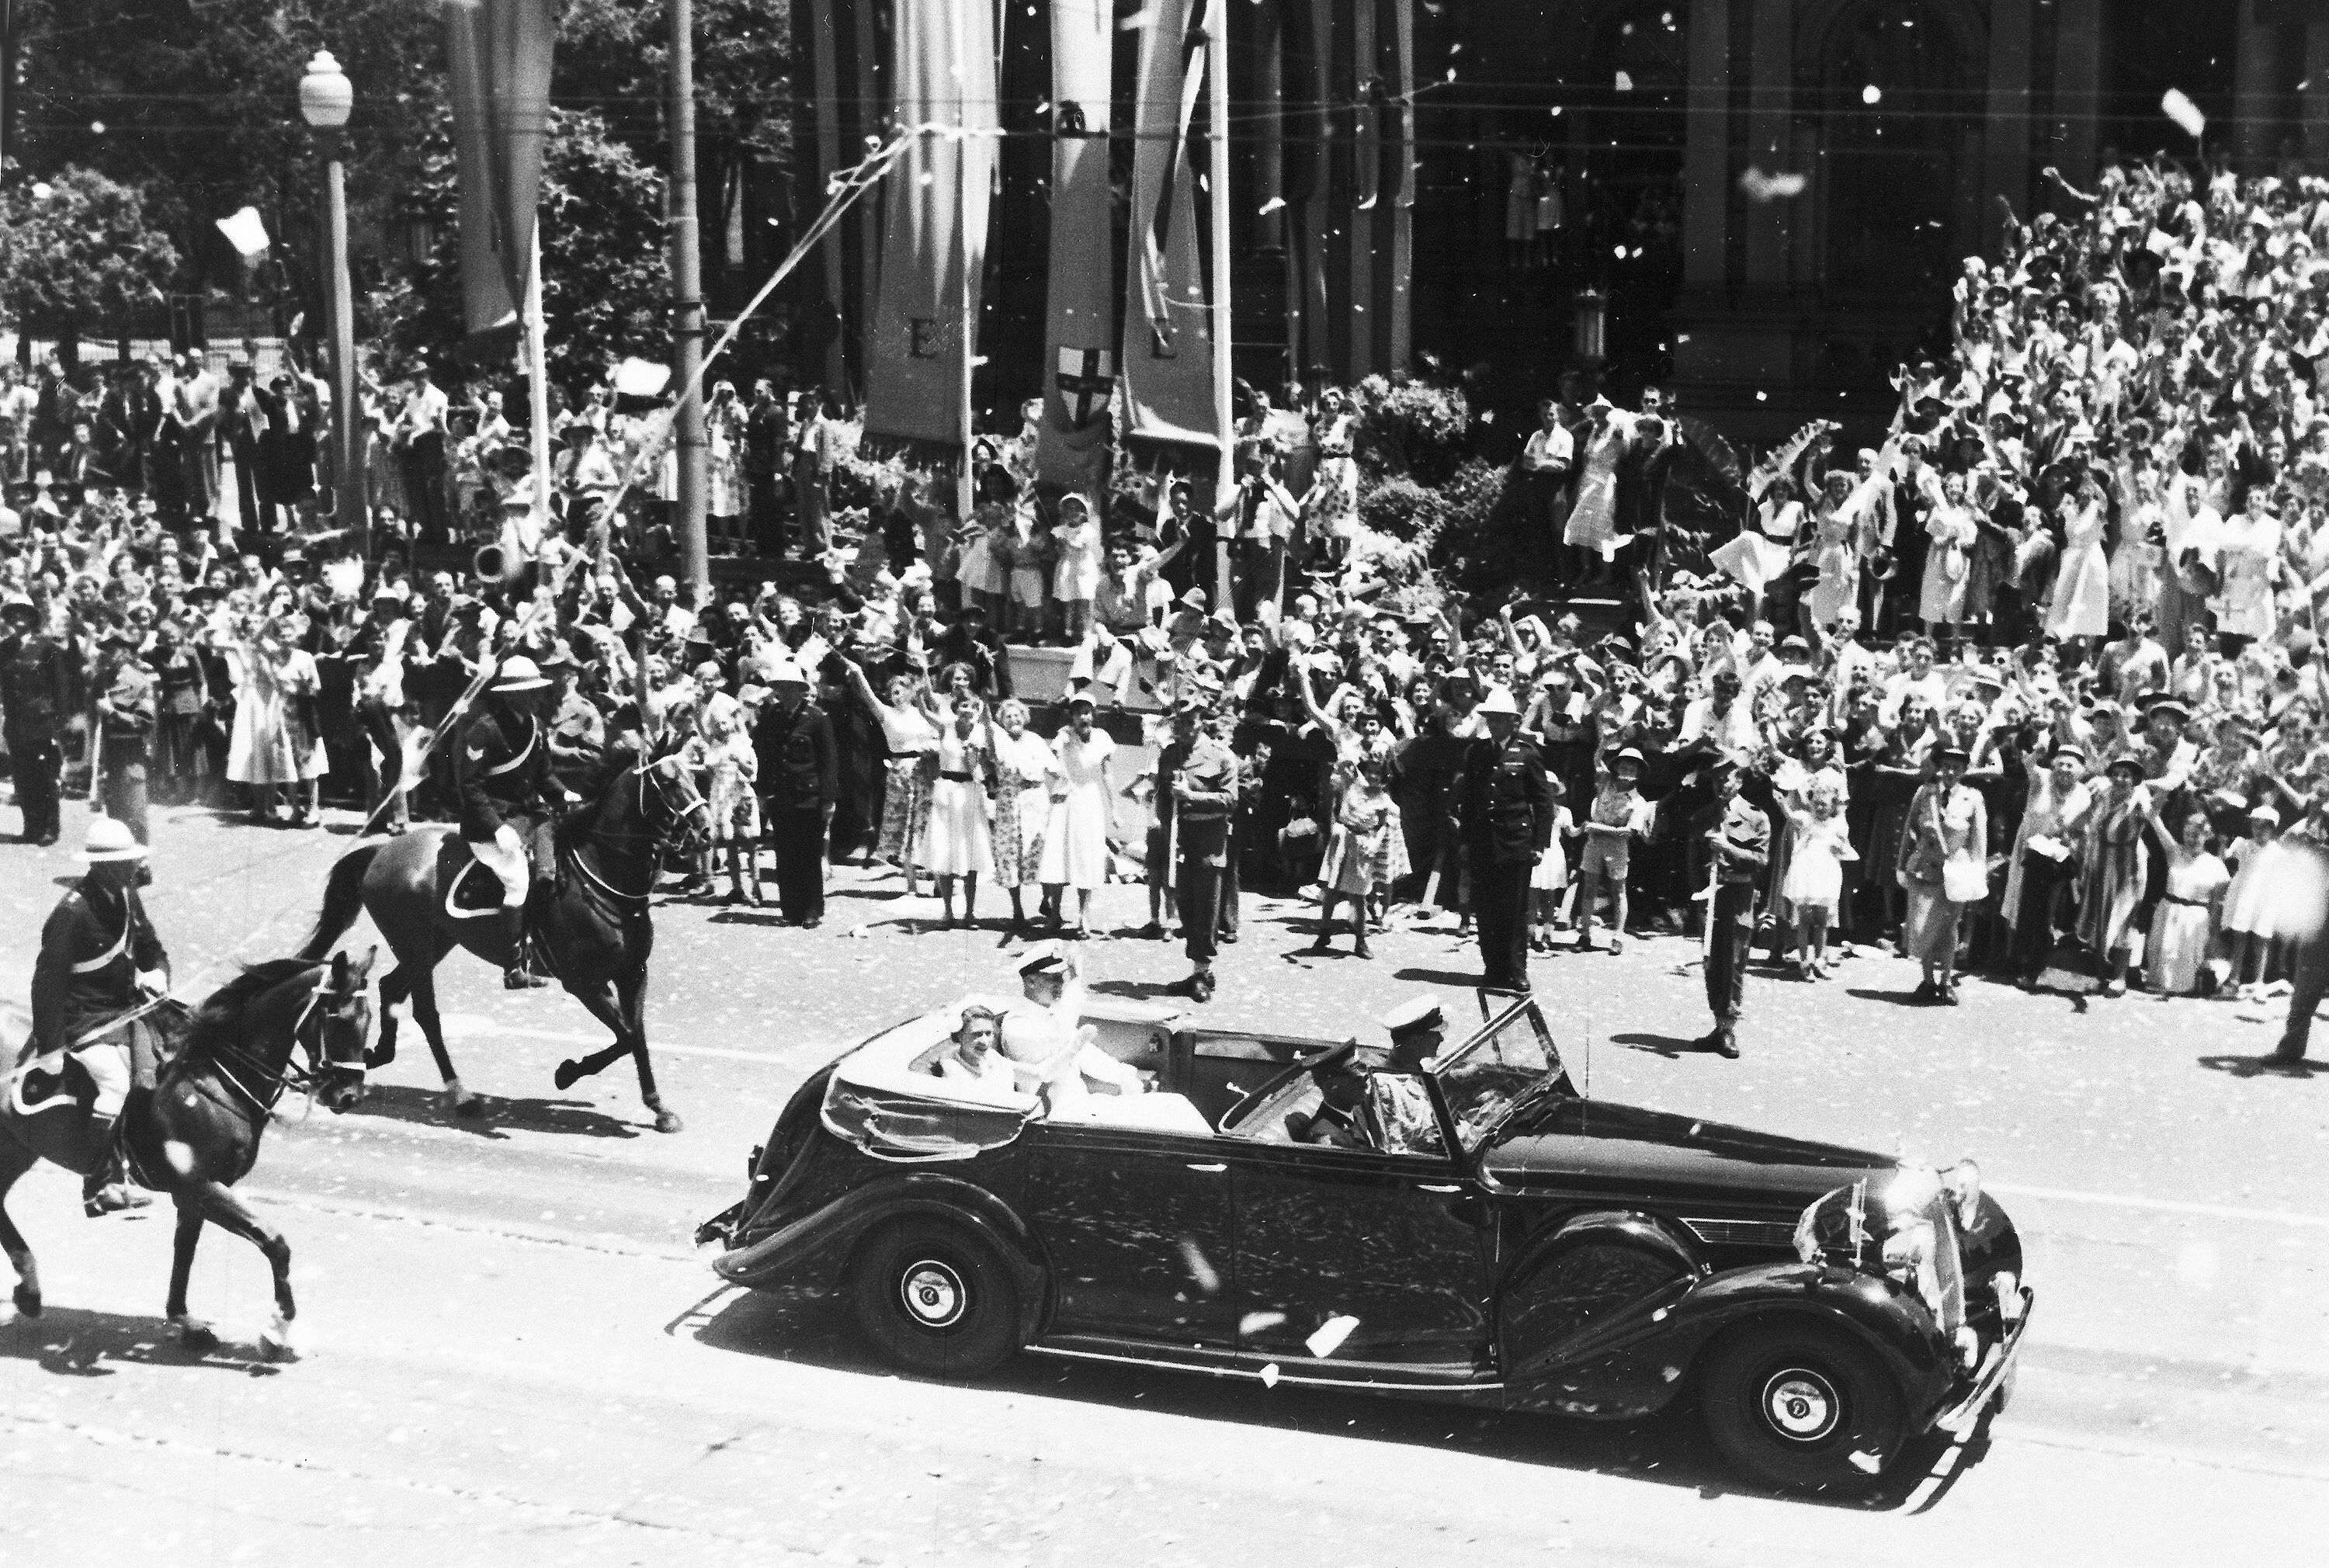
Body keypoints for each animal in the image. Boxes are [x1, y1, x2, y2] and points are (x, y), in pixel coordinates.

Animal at [3, 945, 377, 1351]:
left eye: (370, 1018)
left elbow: (185, 1253)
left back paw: (29, 1291)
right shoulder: (199, 1186)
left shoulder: (193, 1195)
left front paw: (188, 1321)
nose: (349, 1096)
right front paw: (278, 1328)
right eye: (337, 1019)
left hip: (17, 1148)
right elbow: (274, 1242)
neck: (213, 1079)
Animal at [300, 755, 703, 1132]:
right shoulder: (583, 983)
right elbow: (627, 1035)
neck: (603, 879)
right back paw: (459, 1094)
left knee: (392, 988)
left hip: (432, 946)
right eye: (669, 782)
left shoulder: (632, 973)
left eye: (695, 775)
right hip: (416, 948)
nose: (705, 830)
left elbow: (636, 1035)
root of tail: (382, 851)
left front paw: (659, 1107)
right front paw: (568, 1072)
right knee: (425, 1013)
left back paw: (382, 1056)